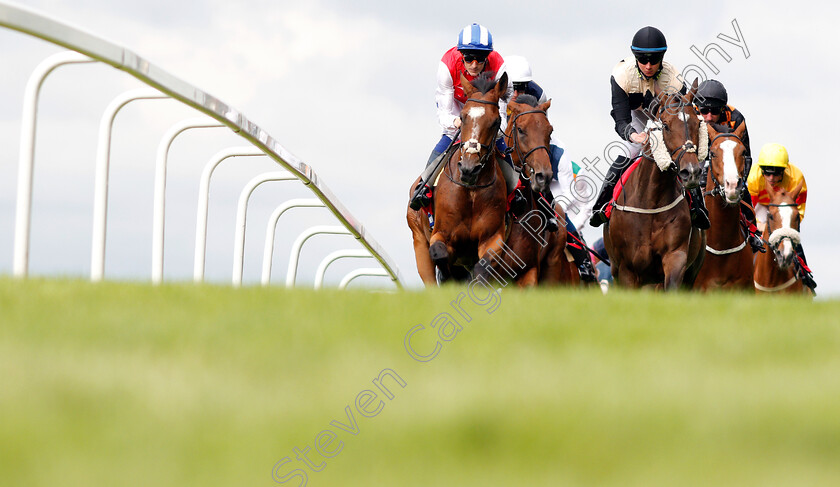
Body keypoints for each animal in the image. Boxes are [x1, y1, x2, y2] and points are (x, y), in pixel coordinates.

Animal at [406, 73, 508, 286]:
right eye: (462, 117)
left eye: (495, 122)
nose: (469, 168)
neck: (471, 191)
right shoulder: (441, 234)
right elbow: (440, 254)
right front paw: (447, 278)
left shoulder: (493, 239)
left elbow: (482, 269)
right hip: (419, 242)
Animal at [604, 84, 708, 292]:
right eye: (665, 125)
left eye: (697, 123)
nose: (691, 172)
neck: (651, 200)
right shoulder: (627, 270)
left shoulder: (675, 257)